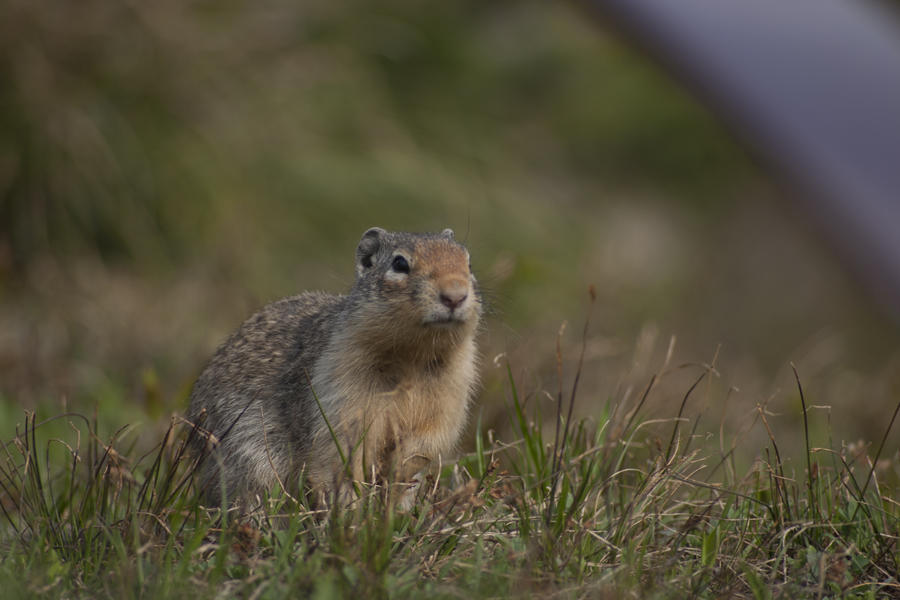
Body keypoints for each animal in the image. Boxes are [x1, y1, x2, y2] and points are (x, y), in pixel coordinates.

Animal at [187, 227, 482, 508]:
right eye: (399, 264)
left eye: (468, 263)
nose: (455, 295)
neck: (414, 356)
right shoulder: (341, 396)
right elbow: (344, 452)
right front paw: (351, 510)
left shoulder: (451, 397)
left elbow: (429, 441)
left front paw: (396, 471)